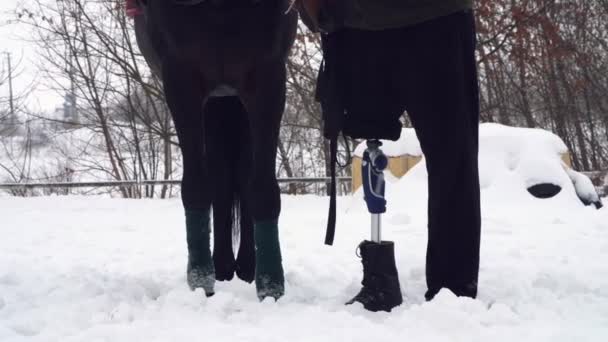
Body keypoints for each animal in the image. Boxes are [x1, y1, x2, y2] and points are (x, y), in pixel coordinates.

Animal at [131, 0, 296, 300]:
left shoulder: (268, 75)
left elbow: (262, 187)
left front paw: (270, 286)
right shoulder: (181, 79)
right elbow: (197, 185)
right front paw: (200, 280)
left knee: (241, 174)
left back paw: (247, 267)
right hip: (216, 104)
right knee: (220, 177)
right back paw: (220, 267)